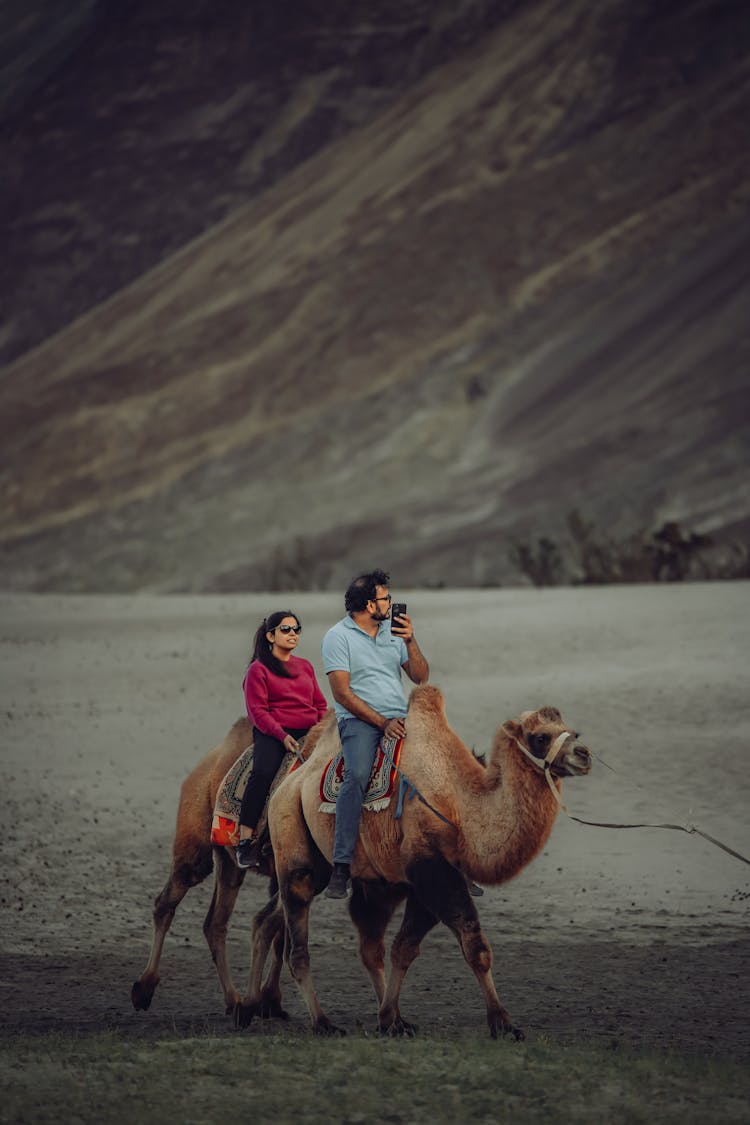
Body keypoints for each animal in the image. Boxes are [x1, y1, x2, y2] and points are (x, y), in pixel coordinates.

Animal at [264, 684, 593, 1044]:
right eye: (540, 737)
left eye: (573, 731)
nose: (583, 754)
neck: (458, 805)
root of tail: (288, 782)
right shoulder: (431, 869)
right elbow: (475, 943)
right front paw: (503, 1024)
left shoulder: (428, 882)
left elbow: (405, 949)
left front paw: (390, 1019)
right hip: (292, 839)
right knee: (298, 938)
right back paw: (321, 1022)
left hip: (377, 881)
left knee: (370, 943)